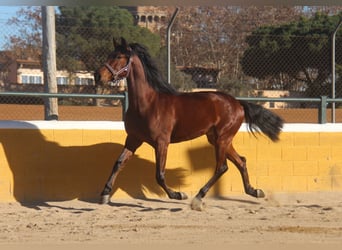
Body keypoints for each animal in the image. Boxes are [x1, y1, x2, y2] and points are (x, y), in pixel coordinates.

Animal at [94, 36, 284, 209]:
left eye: (119, 56)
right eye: (110, 54)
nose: (98, 75)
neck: (147, 103)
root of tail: (237, 103)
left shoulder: (161, 142)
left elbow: (159, 174)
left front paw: (178, 194)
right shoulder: (133, 139)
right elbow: (118, 163)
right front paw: (104, 194)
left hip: (222, 139)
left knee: (221, 167)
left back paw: (198, 197)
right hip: (217, 139)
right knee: (240, 161)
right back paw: (255, 191)